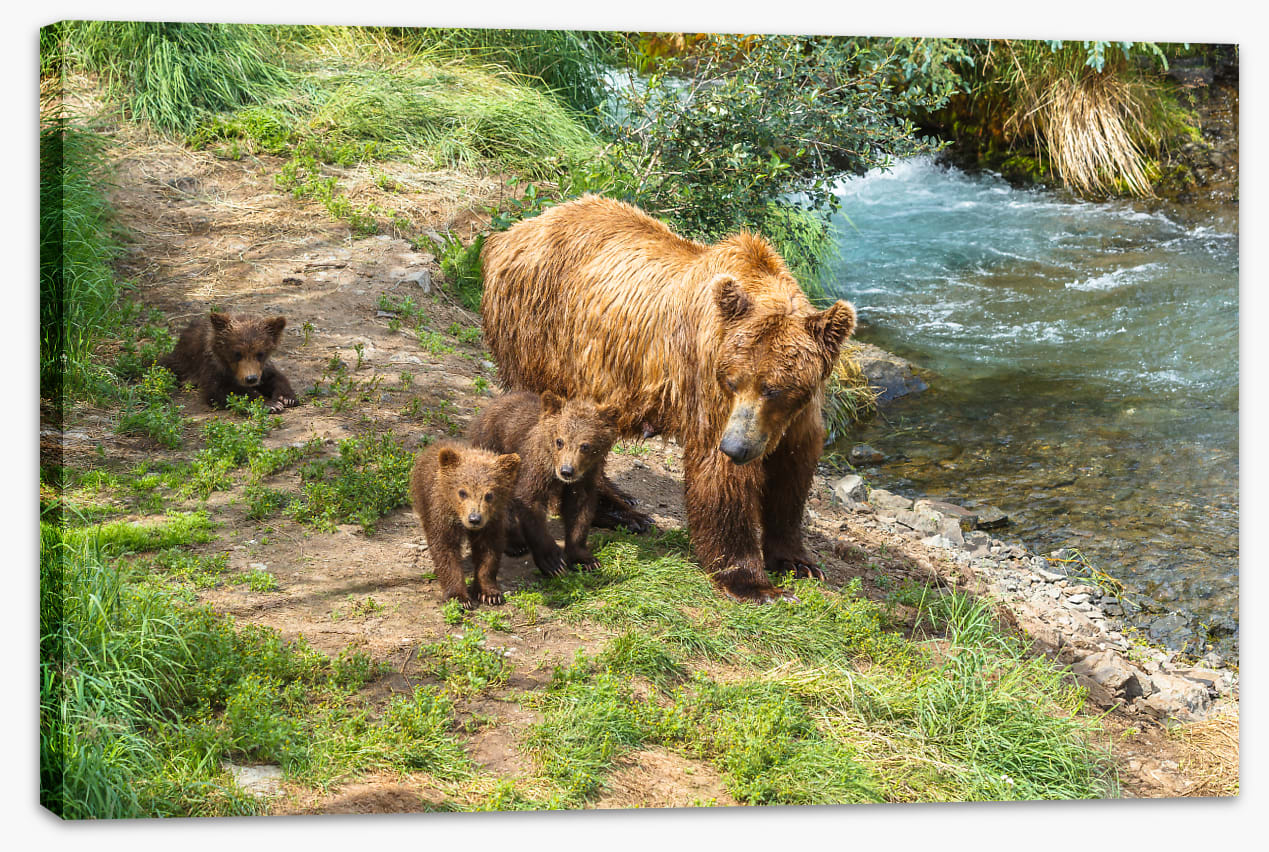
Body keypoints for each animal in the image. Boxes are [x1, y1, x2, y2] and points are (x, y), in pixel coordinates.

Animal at [160, 311, 298, 413]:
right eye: (237, 353)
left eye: (260, 353)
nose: (251, 378)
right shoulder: (213, 367)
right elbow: (222, 390)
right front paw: (270, 404)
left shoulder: (262, 368)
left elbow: (276, 377)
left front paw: (286, 398)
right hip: (181, 362)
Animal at [409, 440, 522, 608]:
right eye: (462, 492)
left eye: (489, 494)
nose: (474, 519)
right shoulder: (442, 516)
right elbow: (445, 550)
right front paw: (459, 597)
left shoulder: (492, 522)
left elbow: (488, 552)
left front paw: (489, 594)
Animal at [467, 390, 619, 578]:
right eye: (560, 441)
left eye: (585, 445)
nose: (567, 470)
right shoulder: (536, 467)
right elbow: (530, 503)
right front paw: (553, 562)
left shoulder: (585, 477)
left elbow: (580, 509)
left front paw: (585, 559)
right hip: (493, 447)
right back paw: (515, 544)